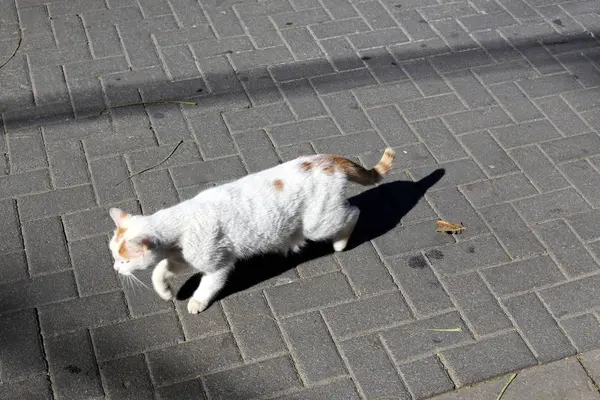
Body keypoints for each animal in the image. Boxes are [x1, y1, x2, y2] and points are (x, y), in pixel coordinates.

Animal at [110, 147, 396, 312]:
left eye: (124, 261)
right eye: (114, 257)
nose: (115, 268)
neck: (179, 225)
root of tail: (328, 160)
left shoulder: (218, 266)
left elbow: (207, 285)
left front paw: (197, 301)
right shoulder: (180, 259)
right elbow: (158, 271)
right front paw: (165, 291)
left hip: (319, 223)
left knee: (353, 211)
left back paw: (340, 243)